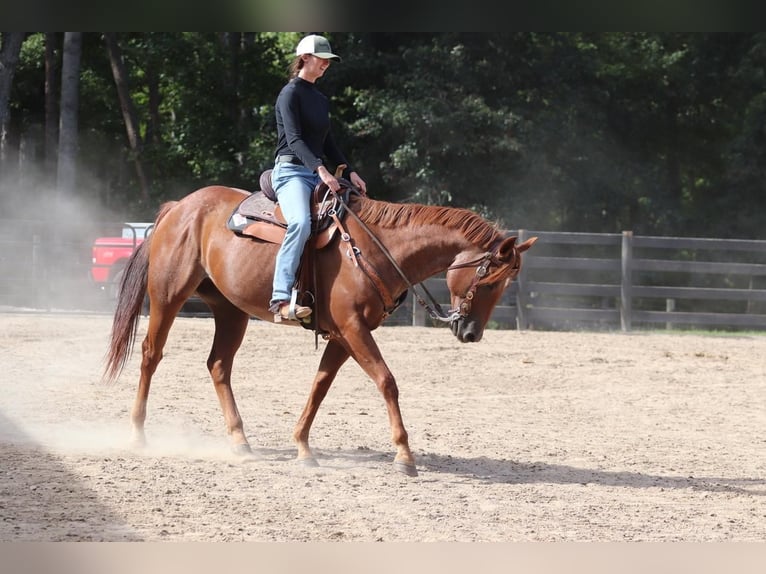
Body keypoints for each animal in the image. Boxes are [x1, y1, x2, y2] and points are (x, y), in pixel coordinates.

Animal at [103, 184, 540, 476]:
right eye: (490, 283)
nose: (471, 333)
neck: (374, 248)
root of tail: (179, 207)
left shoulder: (345, 335)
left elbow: (320, 385)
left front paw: (302, 446)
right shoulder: (353, 328)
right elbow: (387, 381)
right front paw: (404, 455)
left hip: (230, 311)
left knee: (218, 365)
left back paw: (240, 441)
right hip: (168, 295)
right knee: (151, 354)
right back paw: (138, 434)